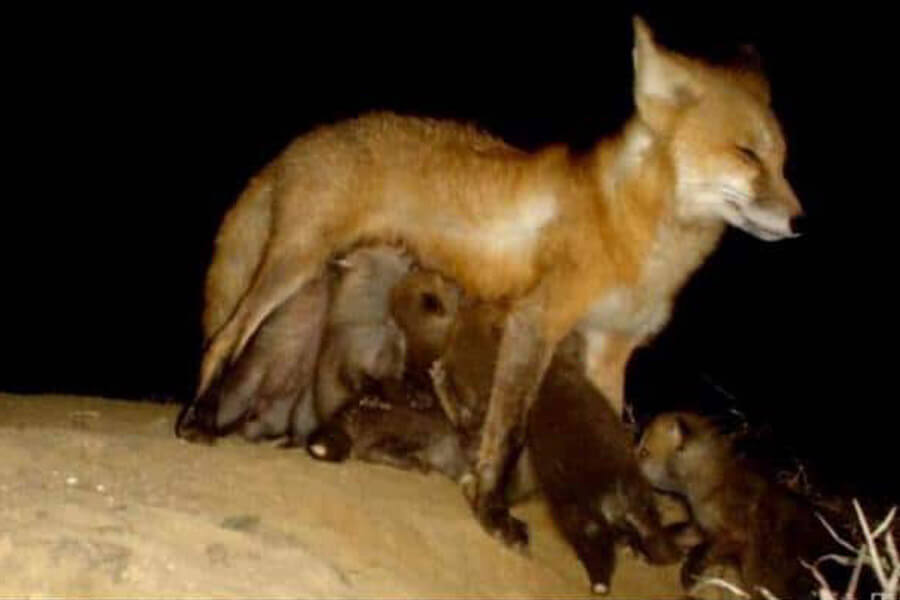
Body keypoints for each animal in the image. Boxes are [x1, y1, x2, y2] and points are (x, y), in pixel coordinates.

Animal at [189, 16, 804, 546]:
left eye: (781, 161)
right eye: (747, 155)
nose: (800, 221)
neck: (630, 228)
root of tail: (302, 143)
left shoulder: (610, 350)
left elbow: (610, 442)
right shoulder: (535, 322)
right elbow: (507, 433)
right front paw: (491, 509)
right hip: (291, 267)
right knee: (223, 339)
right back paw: (198, 420)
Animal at [636, 413, 833, 599]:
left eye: (644, 452)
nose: (629, 461)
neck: (711, 484)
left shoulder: (735, 534)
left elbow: (700, 553)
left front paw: (689, 575)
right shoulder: (704, 529)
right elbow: (671, 533)